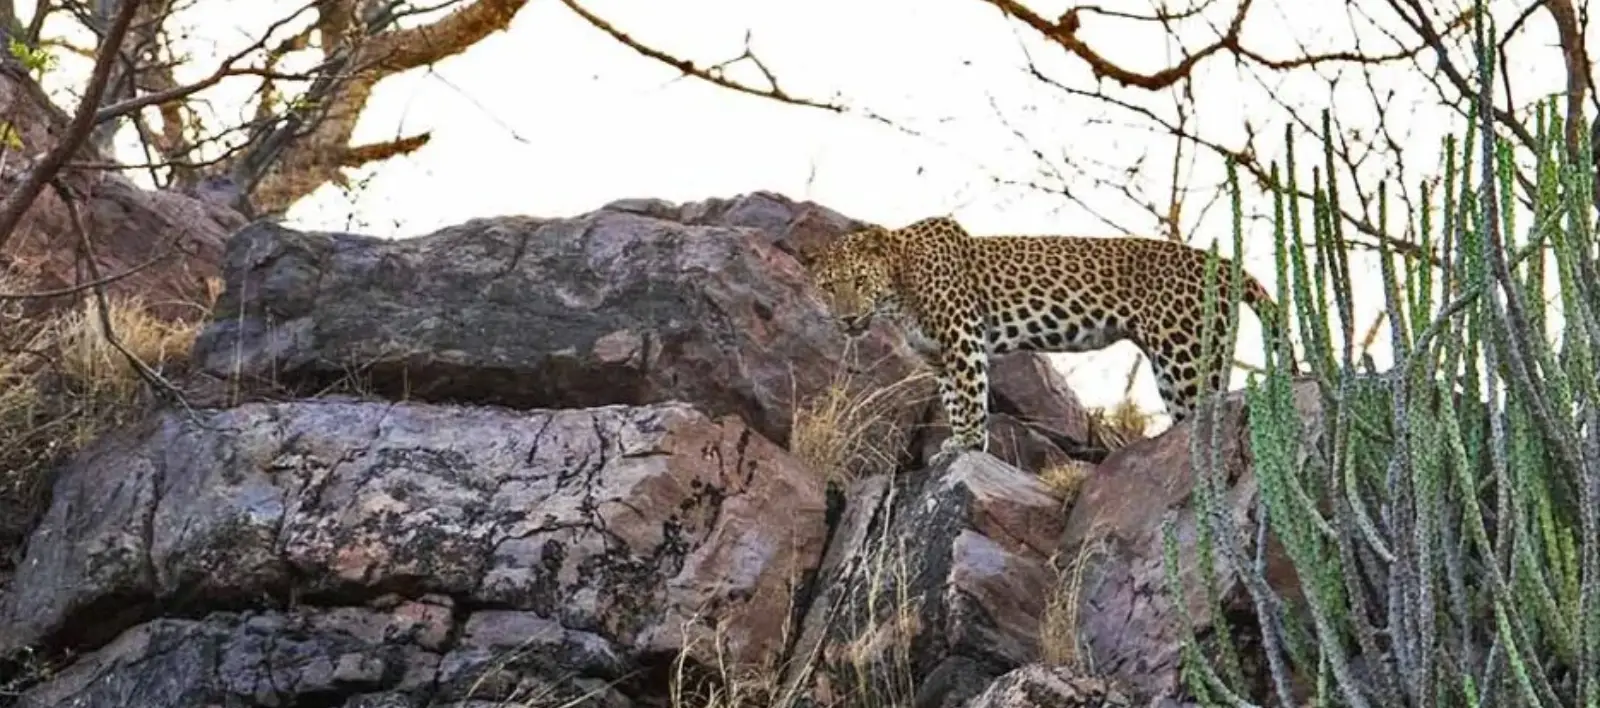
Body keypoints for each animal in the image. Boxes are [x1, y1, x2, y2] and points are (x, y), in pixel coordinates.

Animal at [800, 215, 1292, 467]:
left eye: (859, 281)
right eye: (828, 287)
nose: (847, 318)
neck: (900, 284)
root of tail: (1223, 263)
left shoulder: (963, 333)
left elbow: (971, 395)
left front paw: (969, 442)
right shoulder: (938, 356)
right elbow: (954, 398)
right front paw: (959, 440)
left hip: (1184, 353)